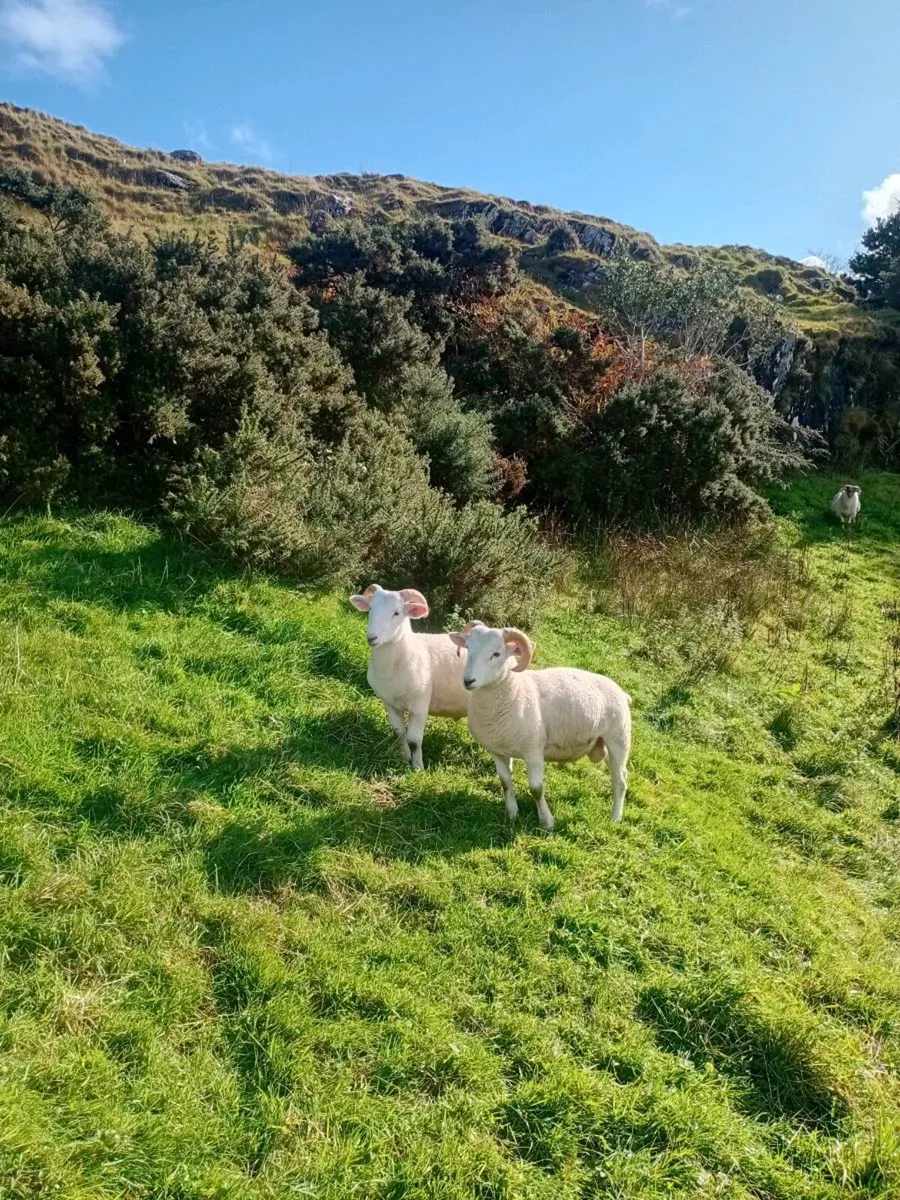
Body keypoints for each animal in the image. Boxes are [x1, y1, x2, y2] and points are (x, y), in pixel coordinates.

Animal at [349, 584, 468, 769]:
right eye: (370, 608)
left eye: (396, 613)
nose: (372, 638)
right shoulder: (390, 704)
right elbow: (399, 733)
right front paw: (404, 757)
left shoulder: (419, 706)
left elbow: (414, 740)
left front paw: (418, 767)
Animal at [450, 622, 631, 830]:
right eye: (468, 647)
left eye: (496, 653)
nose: (468, 680)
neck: (514, 690)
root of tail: (622, 692)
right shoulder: (498, 751)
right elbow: (505, 782)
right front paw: (512, 813)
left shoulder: (534, 751)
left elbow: (536, 789)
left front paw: (547, 821)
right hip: (603, 743)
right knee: (615, 774)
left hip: (619, 739)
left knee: (621, 780)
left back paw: (616, 817)